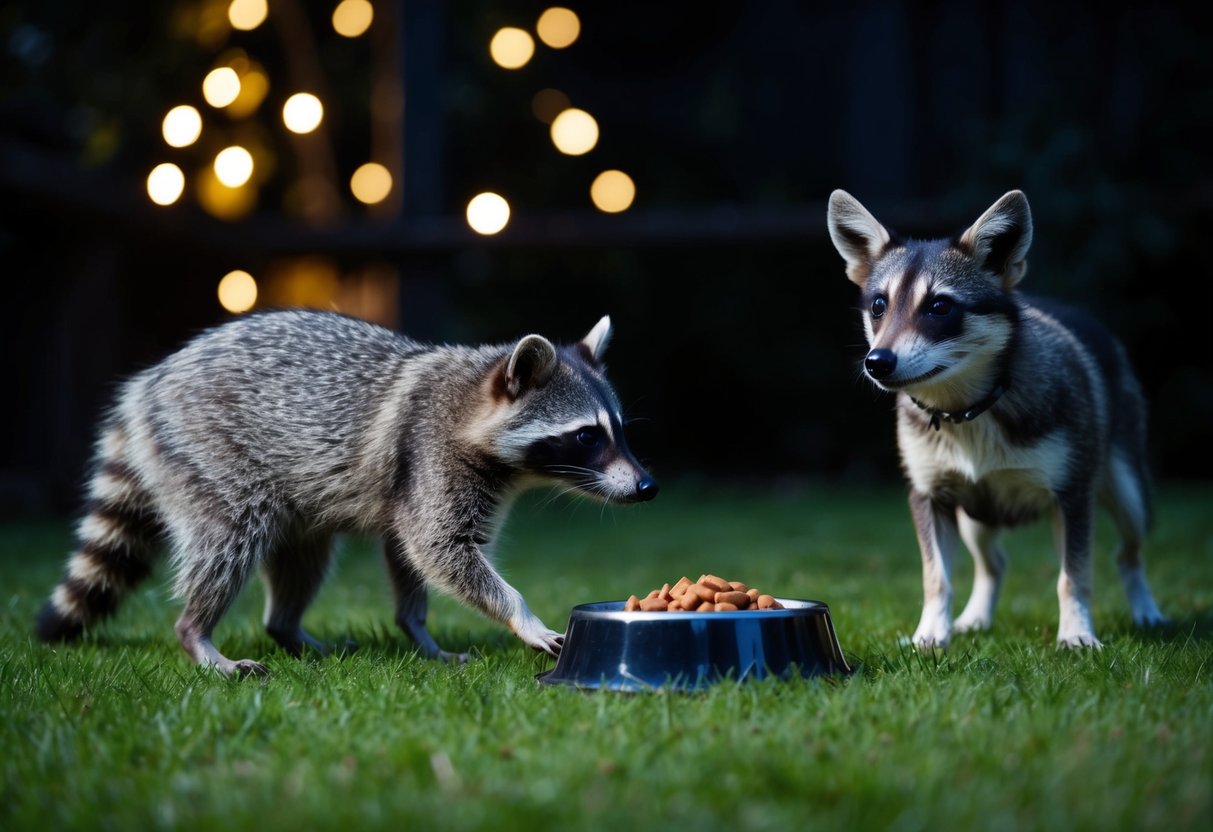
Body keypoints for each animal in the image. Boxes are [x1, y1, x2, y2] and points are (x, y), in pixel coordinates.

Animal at [36, 310, 657, 675]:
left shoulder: (416, 485)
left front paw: (420, 633)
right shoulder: (430, 456)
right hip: (208, 452)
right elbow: (441, 548)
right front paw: (520, 614)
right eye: (586, 436)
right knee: (229, 539)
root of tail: (149, 385)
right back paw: (198, 635)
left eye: (620, 430)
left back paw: (286, 628)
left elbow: (411, 554)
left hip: (292, 502)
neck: (471, 401)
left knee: (303, 558)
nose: (646, 485)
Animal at [827, 189, 1166, 649]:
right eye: (879, 305)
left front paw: (1077, 634)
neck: (969, 413)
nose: (877, 362)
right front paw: (930, 637)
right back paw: (974, 619)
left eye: (939, 306)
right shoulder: (930, 495)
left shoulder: (1073, 495)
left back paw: (1147, 612)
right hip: (976, 517)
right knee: (994, 564)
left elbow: (1073, 577)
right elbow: (937, 578)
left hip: (1130, 495)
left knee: (1128, 555)